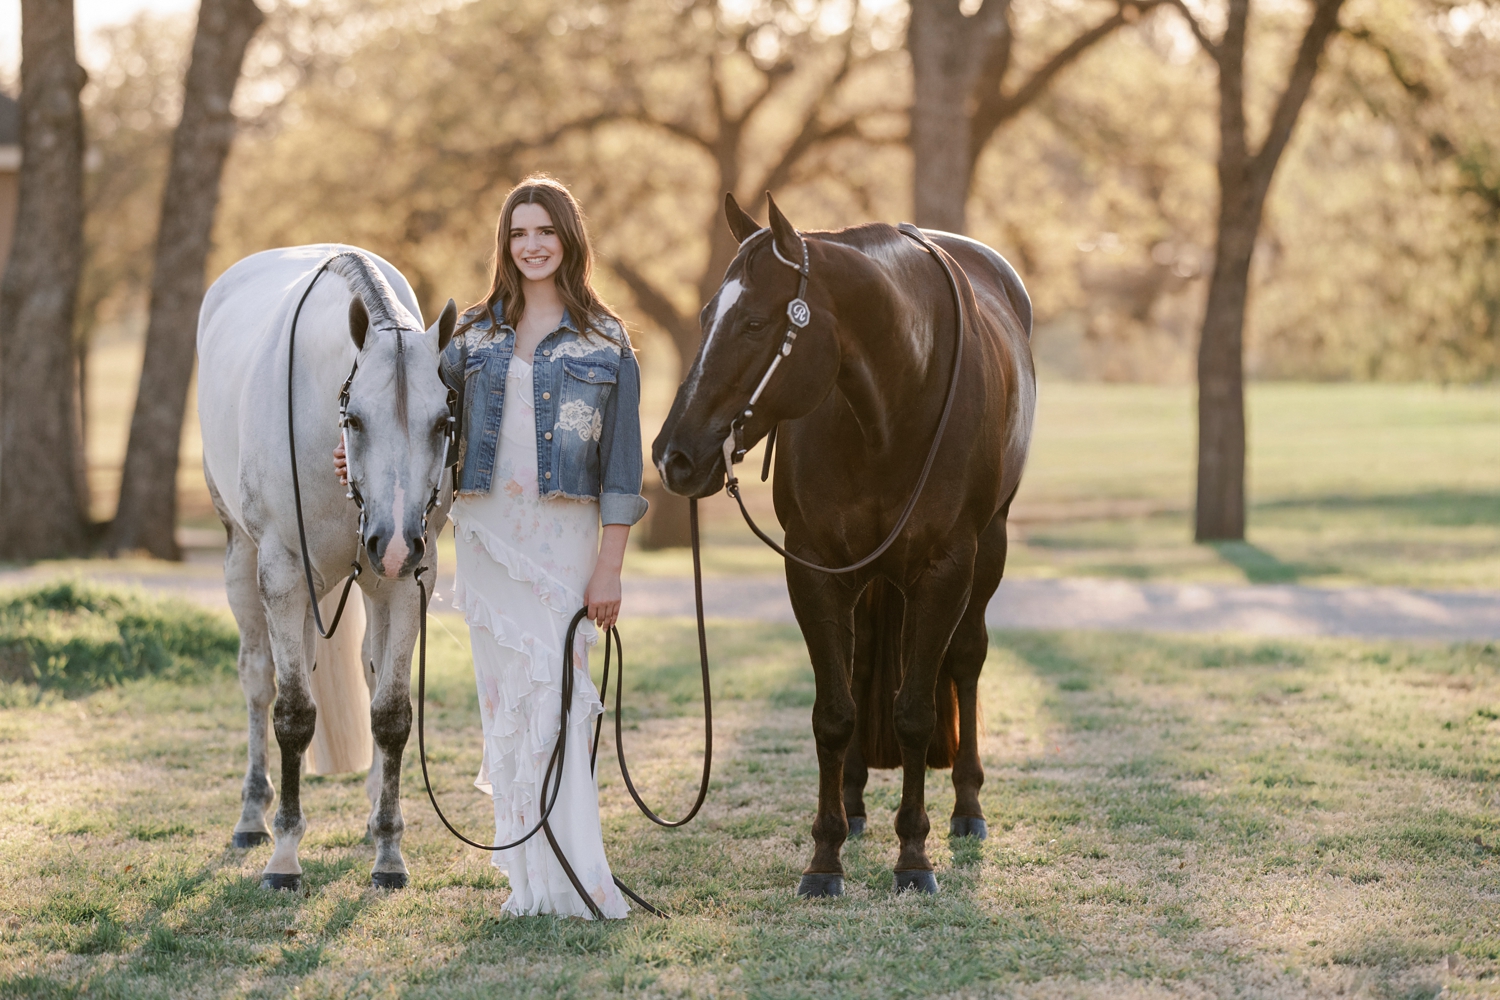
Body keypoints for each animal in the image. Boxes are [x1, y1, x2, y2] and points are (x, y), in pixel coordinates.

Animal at [198, 245, 456, 891]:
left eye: (444, 422)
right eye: (355, 419)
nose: (396, 542)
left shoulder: (407, 582)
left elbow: (390, 714)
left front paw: (389, 852)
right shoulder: (284, 575)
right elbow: (292, 713)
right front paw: (285, 857)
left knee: (366, 673)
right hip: (244, 564)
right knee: (259, 680)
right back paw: (252, 819)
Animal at [653, 195, 1034, 896]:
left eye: (753, 322)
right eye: (704, 318)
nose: (675, 458)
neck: (894, 403)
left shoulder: (946, 568)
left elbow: (915, 714)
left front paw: (913, 857)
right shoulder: (817, 569)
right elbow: (834, 713)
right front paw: (825, 856)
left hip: (987, 551)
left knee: (966, 660)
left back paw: (967, 807)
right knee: (859, 674)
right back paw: (854, 806)